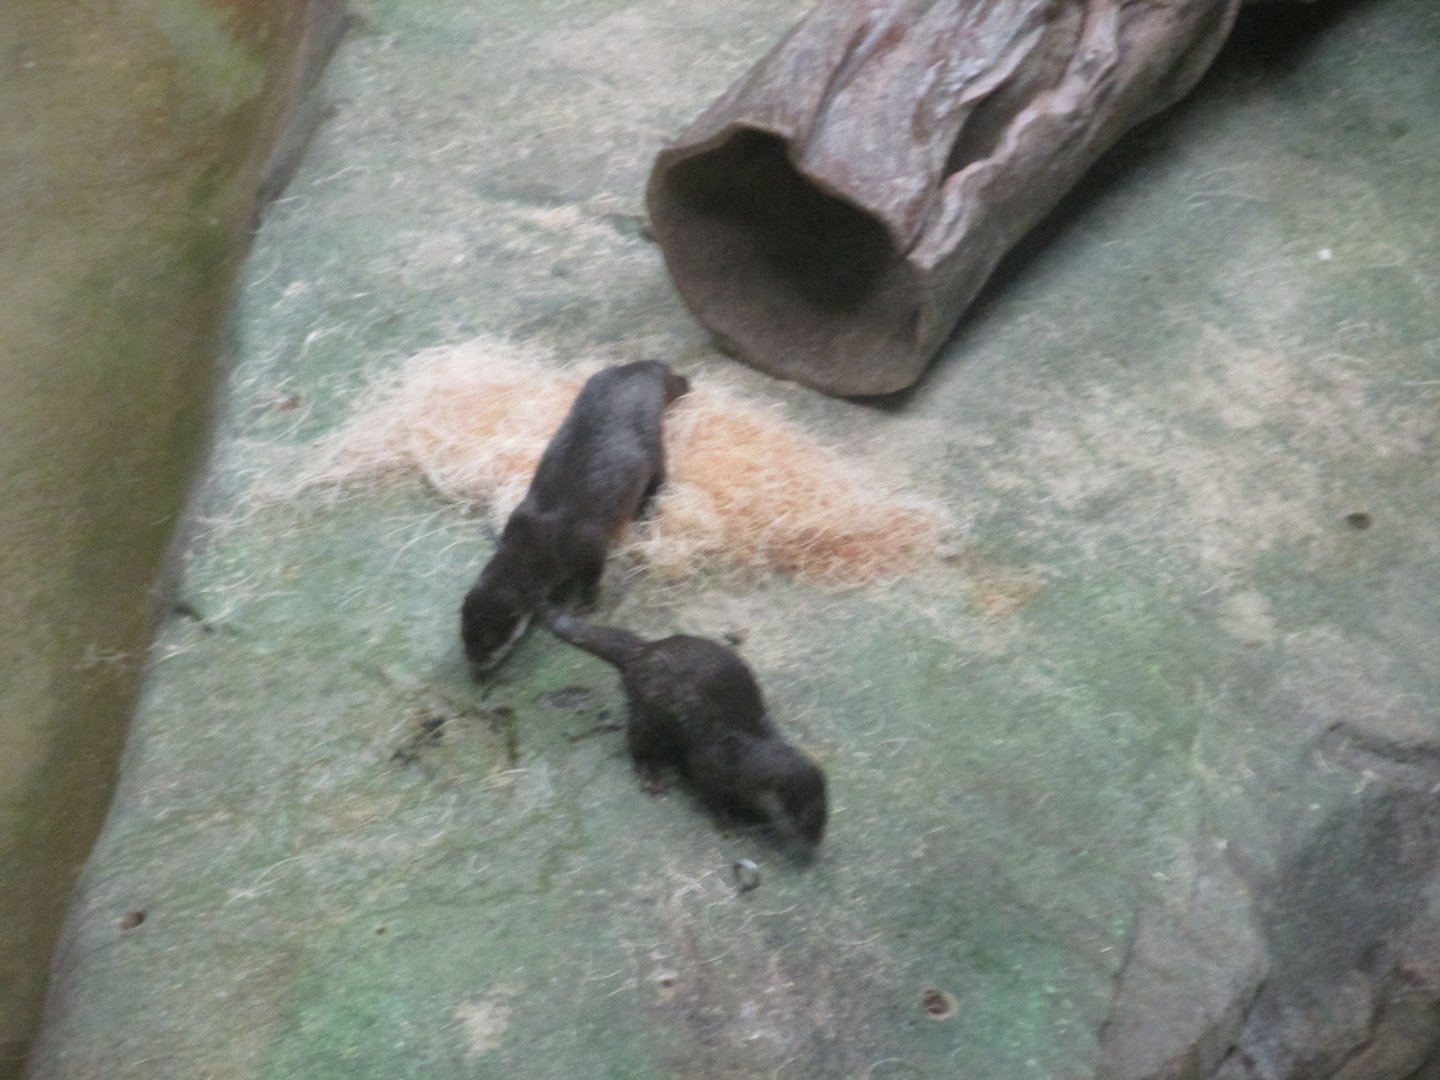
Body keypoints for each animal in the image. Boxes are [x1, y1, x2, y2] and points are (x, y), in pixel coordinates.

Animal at [461, 361, 689, 672]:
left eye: (489, 644)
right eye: (465, 638)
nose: (476, 667)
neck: (533, 548)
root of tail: (641, 370)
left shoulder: (587, 543)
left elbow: (594, 573)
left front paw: (587, 603)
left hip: (653, 443)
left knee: (661, 475)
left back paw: (645, 509)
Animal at [544, 610, 828, 850]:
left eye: (823, 811)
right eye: (798, 816)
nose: (813, 843)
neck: (741, 754)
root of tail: (644, 650)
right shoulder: (708, 764)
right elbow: (708, 791)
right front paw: (729, 819)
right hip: (648, 714)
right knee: (636, 744)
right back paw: (652, 778)